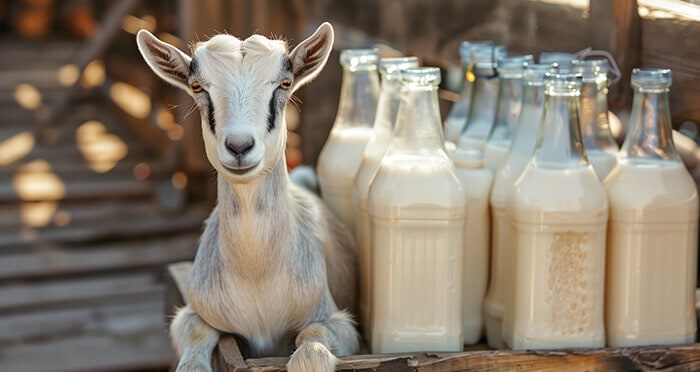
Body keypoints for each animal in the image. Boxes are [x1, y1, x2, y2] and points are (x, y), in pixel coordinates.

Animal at [135, 24, 358, 372]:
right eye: (197, 86)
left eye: (285, 83)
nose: (239, 146)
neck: (257, 275)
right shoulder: (196, 314)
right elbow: (196, 337)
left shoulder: (337, 322)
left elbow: (311, 342)